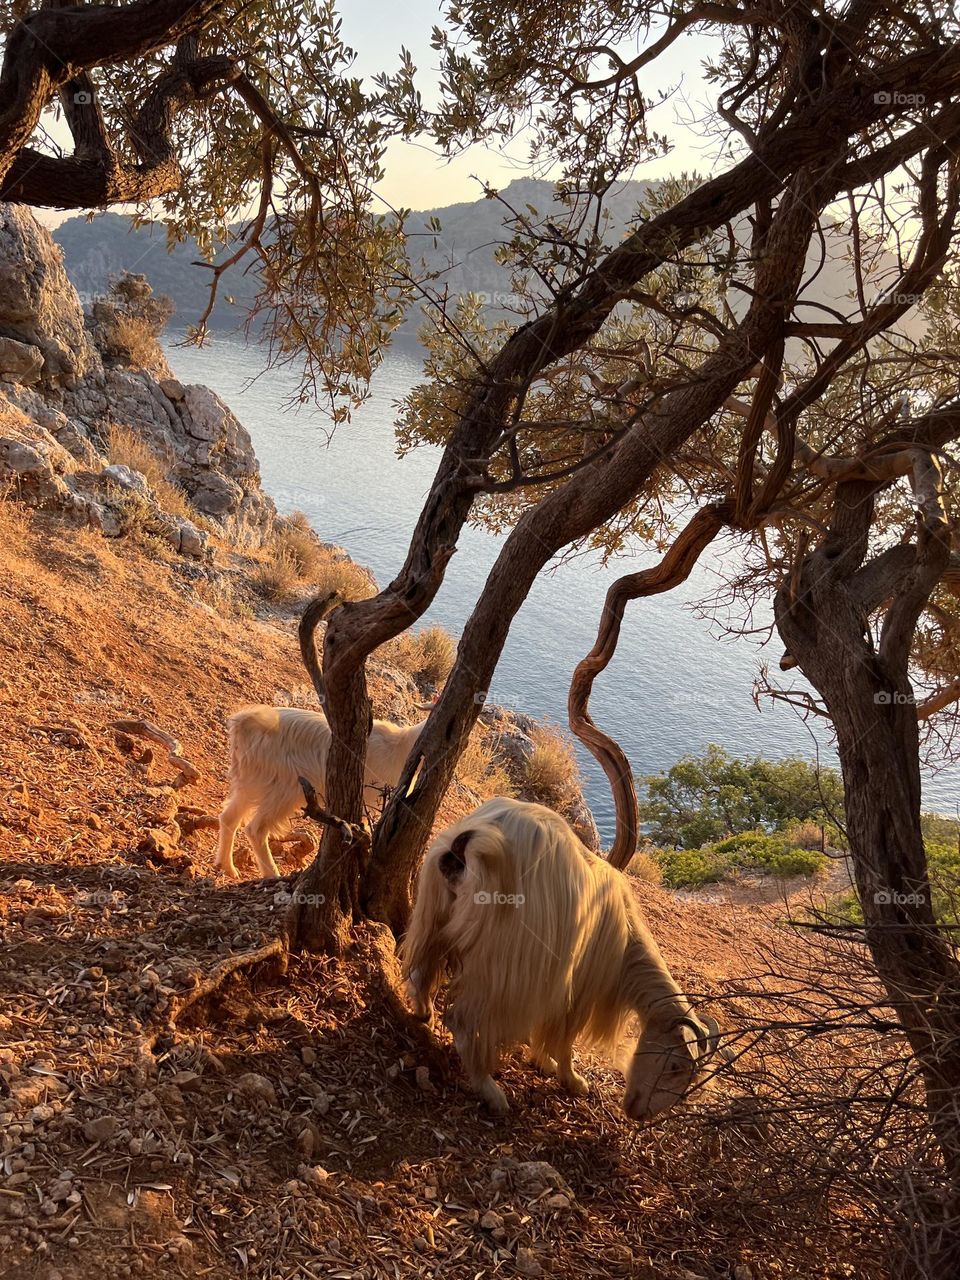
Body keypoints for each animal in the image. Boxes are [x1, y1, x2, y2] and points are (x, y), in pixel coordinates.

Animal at [216, 705, 425, 878]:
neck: (401, 746)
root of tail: (243, 722)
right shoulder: (371, 800)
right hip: (282, 789)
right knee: (256, 829)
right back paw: (272, 875)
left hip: (251, 781)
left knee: (228, 818)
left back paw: (228, 867)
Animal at [402, 795, 727, 1119]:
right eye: (675, 1066)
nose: (639, 1113)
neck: (624, 943)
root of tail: (471, 840)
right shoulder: (576, 989)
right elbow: (564, 1039)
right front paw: (570, 1078)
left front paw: (541, 1060)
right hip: (502, 966)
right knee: (461, 1019)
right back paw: (490, 1091)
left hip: (435, 915)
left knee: (421, 971)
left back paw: (423, 1013)